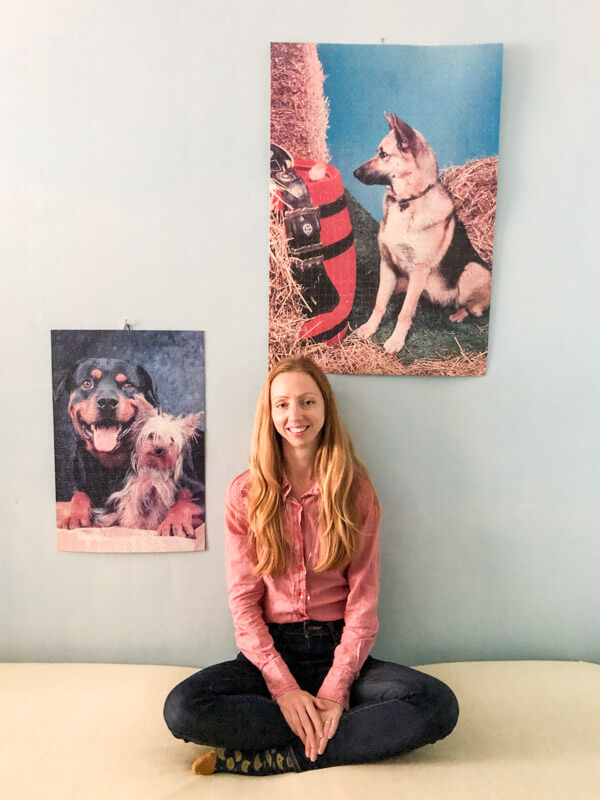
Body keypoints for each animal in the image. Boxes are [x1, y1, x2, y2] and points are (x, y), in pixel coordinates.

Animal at [354, 114, 490, 352]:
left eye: (383, 154)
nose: (354, 173)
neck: (406, 202)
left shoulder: (419, 271)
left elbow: (405, 312)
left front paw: (396, 340)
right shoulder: (387, 264)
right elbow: (379, 302)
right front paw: (370, 328)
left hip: (472, 270)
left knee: (472, 308)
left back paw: (458, 314)